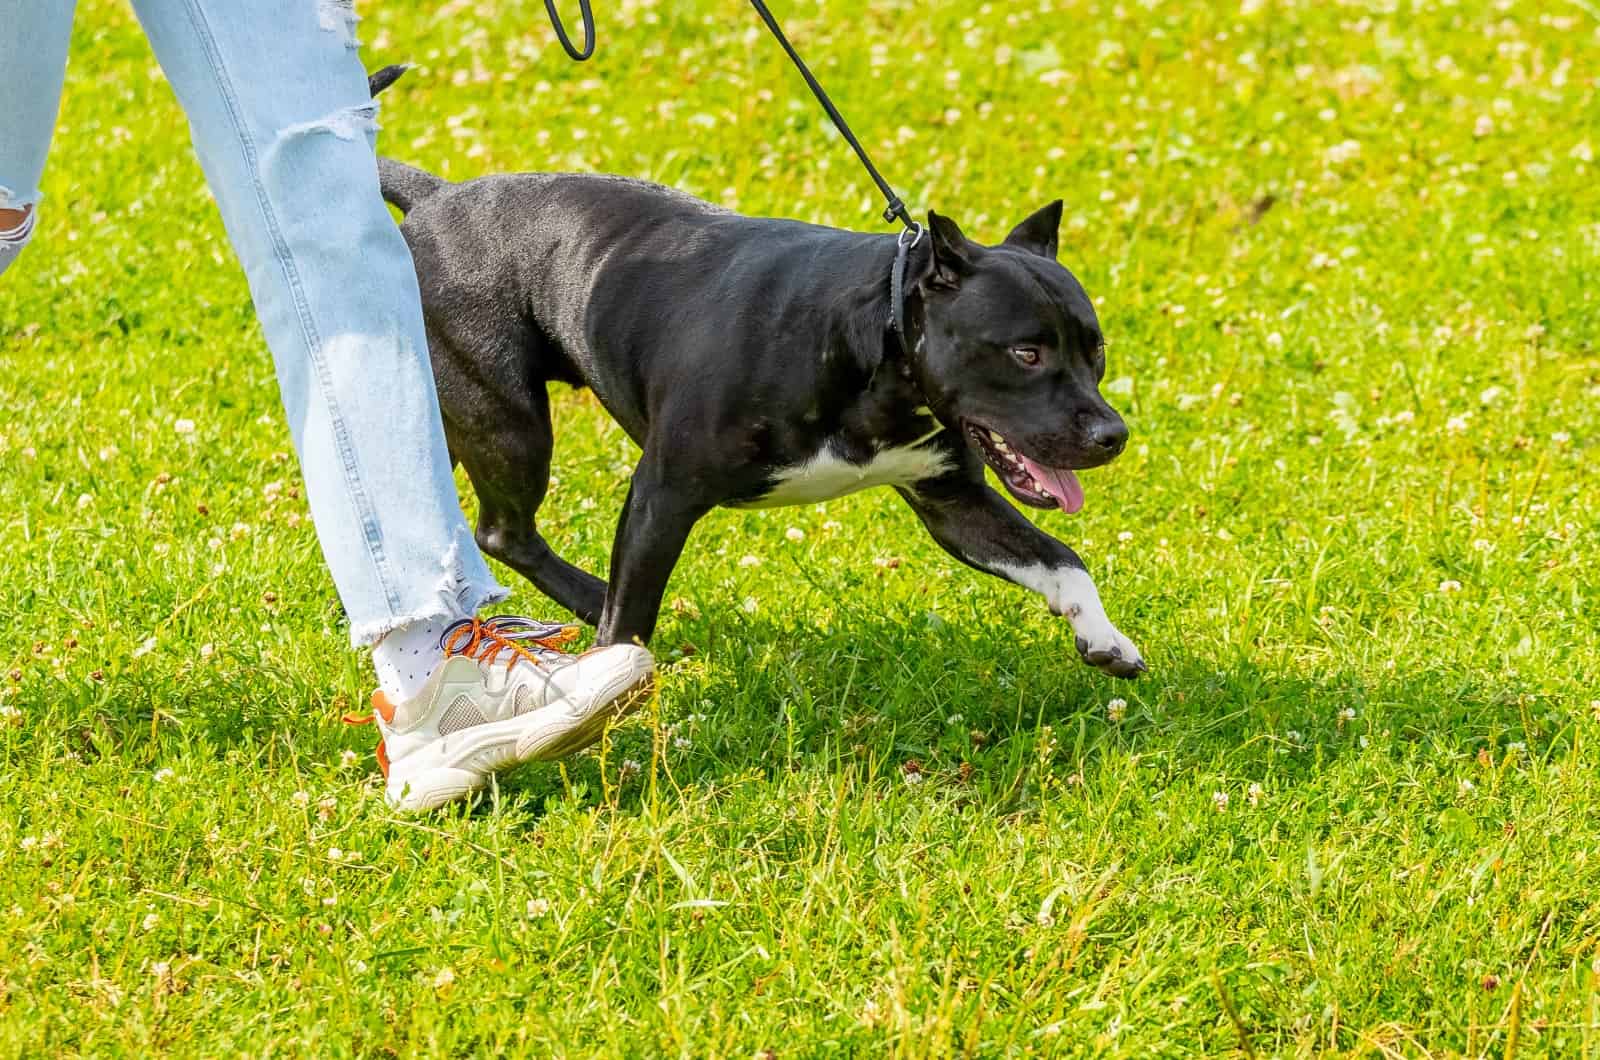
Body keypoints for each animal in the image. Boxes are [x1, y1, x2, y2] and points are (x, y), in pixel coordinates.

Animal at [368, 68, 1145, 682]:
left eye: (1096, 352)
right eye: (1026, 354)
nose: (1113, 434)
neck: (878, 342)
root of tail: (436, 197)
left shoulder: (954, 503)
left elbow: (1061, 557)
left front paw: (1104, 635)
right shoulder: (662, 495)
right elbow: (632, 617)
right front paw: (615, 686)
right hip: (511, 425)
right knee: (506, 532)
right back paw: (591, 600)